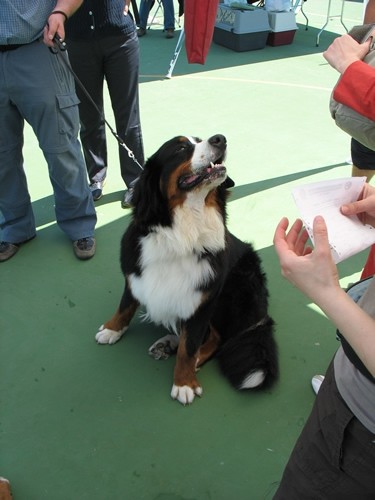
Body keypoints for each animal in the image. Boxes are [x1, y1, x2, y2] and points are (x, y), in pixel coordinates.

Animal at [96, 134, 280, 406]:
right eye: (181, 147)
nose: (220, 139)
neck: (181, 234)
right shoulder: (135, 273)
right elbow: (125, 305)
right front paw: (112, 329)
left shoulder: (203, 300)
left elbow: (190, 346)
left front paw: (184, 382)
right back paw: (166, 344)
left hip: (232, 290)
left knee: (216, 338)